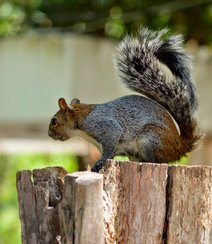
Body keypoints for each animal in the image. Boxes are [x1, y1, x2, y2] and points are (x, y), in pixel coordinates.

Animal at [48, 28, 204, 172]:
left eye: (54, 121)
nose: (49, 134)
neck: (81, 117)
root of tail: (179, 146)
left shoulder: (103, 126)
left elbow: (110, 144)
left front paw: (101, 161)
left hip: (151, 138)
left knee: (159, 161)